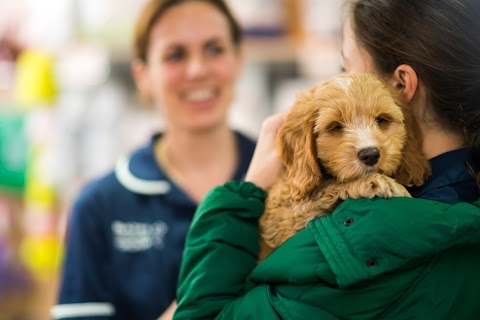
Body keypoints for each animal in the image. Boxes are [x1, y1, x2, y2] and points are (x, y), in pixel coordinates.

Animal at [258, 73, 432, 262]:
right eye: (336, 126)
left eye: (381, 119)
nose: (370, 155)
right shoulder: (284, 215)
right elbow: (327, 188)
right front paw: (380, 182)